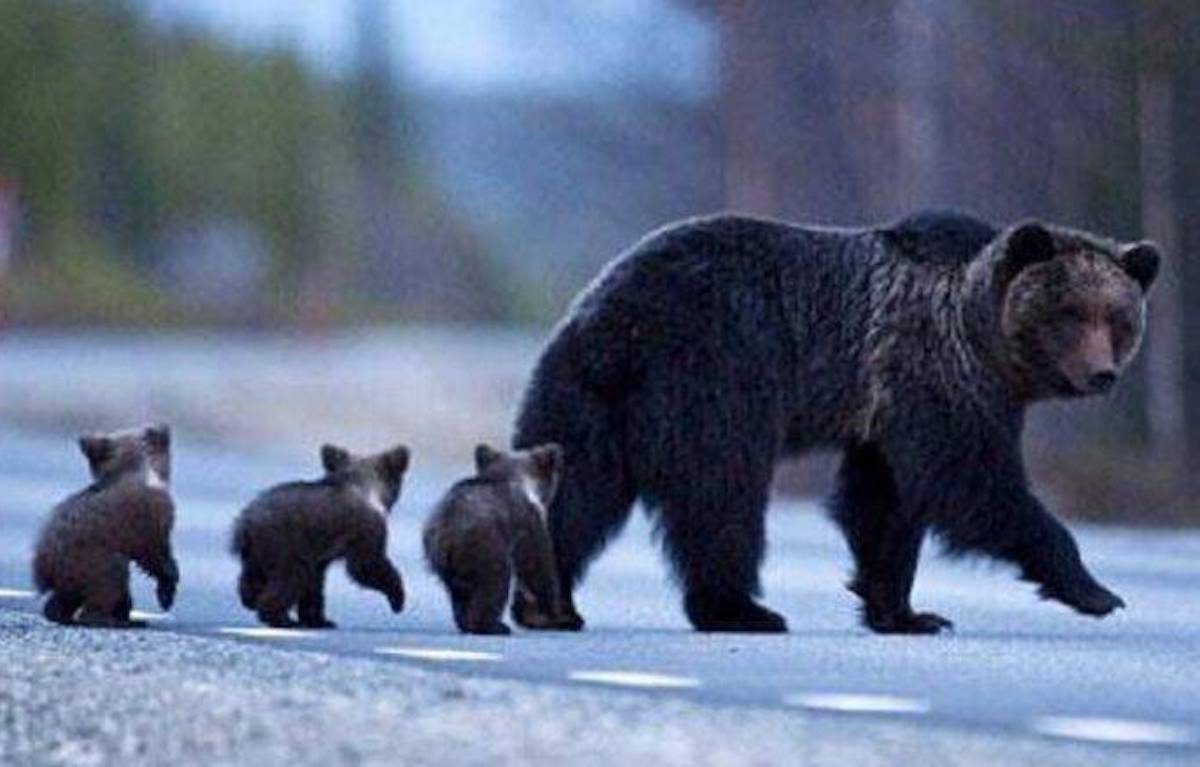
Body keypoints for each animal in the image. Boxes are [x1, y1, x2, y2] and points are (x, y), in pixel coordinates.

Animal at [511, 211, 1156, 633]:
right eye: (1070, 313)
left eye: (1118, 318)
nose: (1101, 373)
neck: (985, 339)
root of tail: (615, 320)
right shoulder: (935, 375)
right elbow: (970, 483)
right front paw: (1095, 590)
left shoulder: (886, 409)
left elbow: (885, 502)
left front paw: (905, 612)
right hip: (713, 374)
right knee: (722, 495)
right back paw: (741, 609)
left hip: (586, 396)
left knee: (573, 489)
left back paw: (547, 606)